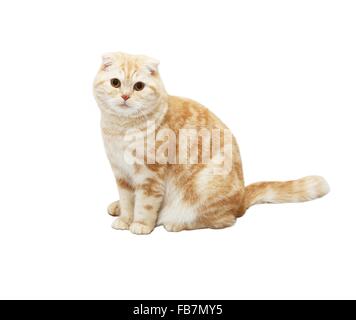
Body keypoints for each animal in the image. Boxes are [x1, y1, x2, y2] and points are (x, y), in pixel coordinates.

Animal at [93, 51, 330, 234]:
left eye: (139, 86)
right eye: (115, 83)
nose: (125, 96)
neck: (121, 129)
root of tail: (241, 199)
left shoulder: (150, 176)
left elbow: (145, 205)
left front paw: (140, 224)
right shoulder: (121, 174)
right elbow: (127, 201)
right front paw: (125, 218)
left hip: (204, 188)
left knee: (222, 220)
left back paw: (175, 223)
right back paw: (117, 207)